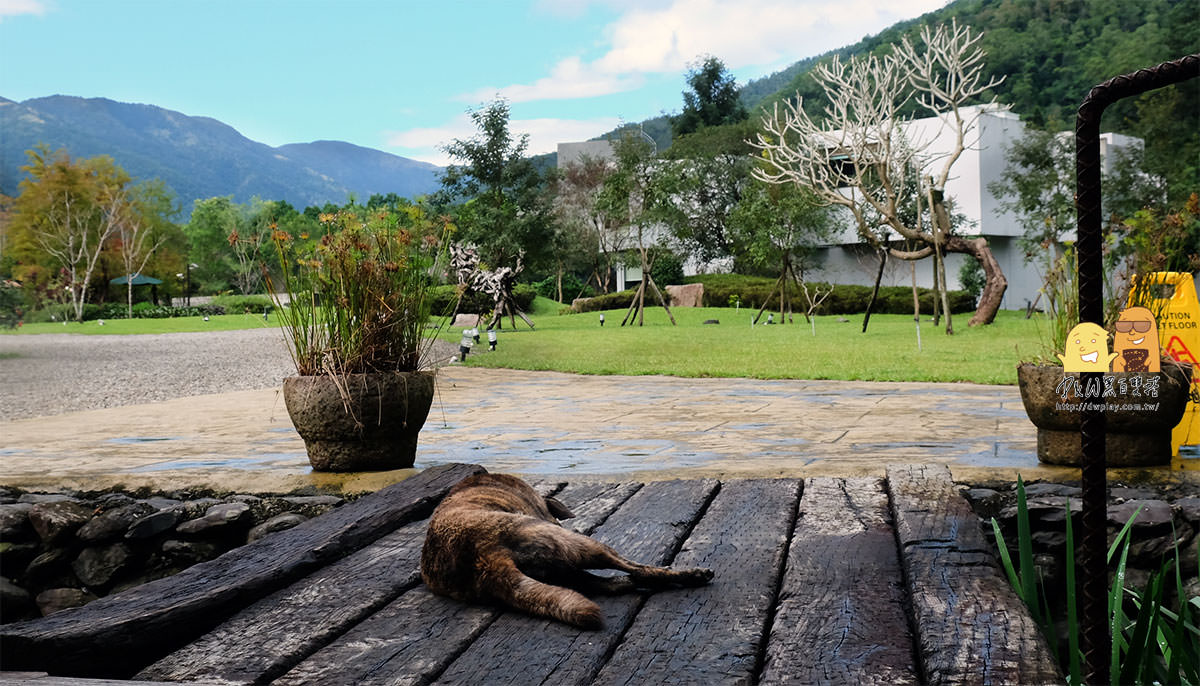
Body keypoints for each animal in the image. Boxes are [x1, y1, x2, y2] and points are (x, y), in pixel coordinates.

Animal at [422, 474, 710, 628]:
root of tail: (483, 556)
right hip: (576, 543)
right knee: (636, 569)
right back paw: (691, 574)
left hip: (555, 564)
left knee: (598, 582)